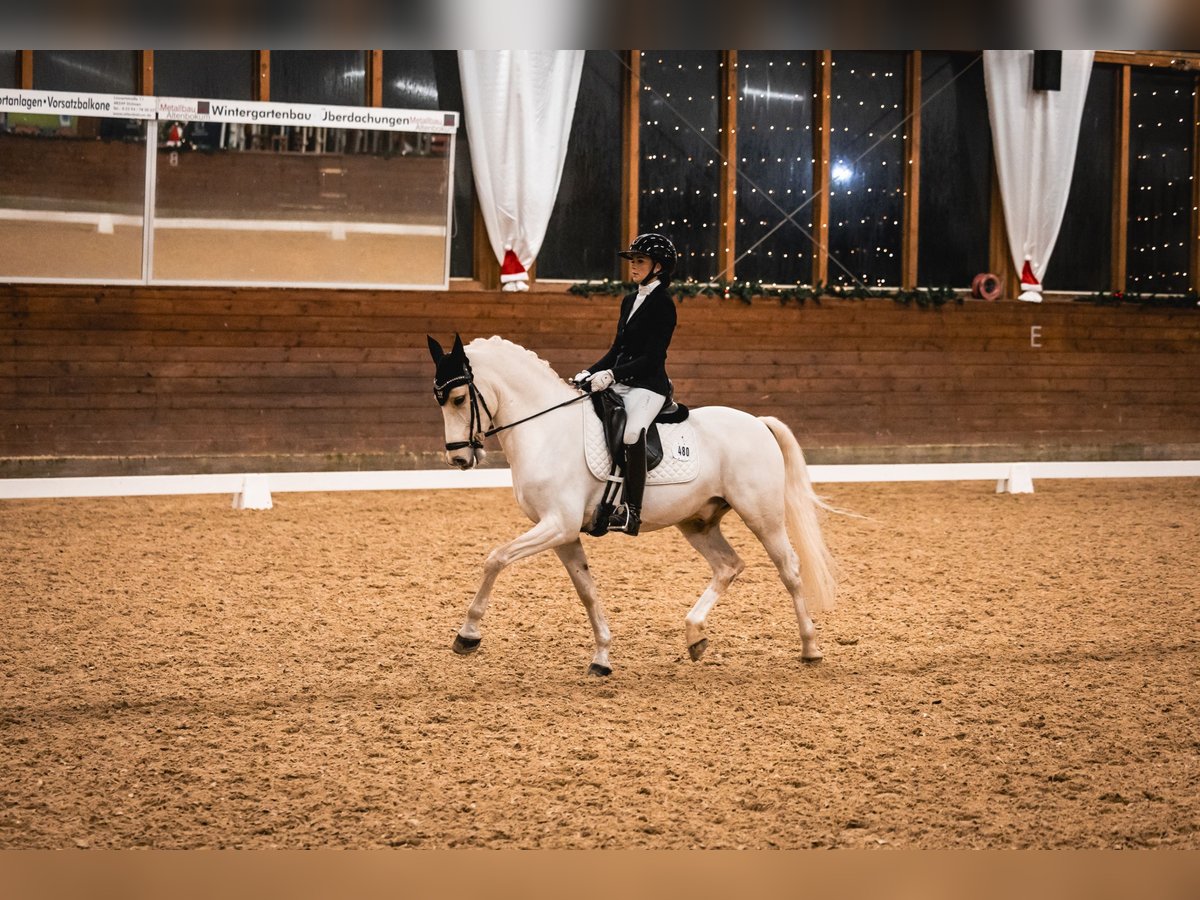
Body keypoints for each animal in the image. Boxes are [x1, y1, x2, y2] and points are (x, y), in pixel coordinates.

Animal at [429, 336, 835, 672]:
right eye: (440, 400)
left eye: (459, 399)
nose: (458, 459)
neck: (546, 430)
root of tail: (757, 422)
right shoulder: (563, 533)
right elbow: (587, 591)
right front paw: (602, 656)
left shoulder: (557, 523)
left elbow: (495, 558)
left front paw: (467, 634)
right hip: (697, 521)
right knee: (728, 566)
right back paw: (695, 635)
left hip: (762, 517)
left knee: (789, 570)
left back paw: (810, 648)